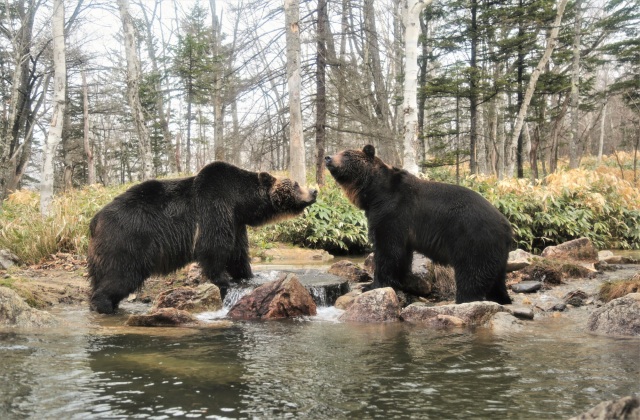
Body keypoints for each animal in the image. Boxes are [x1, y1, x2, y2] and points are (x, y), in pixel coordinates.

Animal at [87, 162, 318, 314]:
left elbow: (238, 253)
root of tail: (95, 219)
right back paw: (104, 304)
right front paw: (224, 281)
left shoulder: (235, 222)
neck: (240, 202)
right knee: (121, 274)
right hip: (128, 240)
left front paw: (247, 275)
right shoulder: (214, 209)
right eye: (296, 184)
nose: (314, 191)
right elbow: (214, 249)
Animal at [324, 145, 516, 306]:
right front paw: (401, 281)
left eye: (346, 154)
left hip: (473, 238)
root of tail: (507, 226)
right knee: (496, 278)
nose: (328, 157)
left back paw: (465, 299)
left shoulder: (392, 212)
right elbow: (402, 254)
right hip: (496, 252)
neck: (373, 193)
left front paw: (372, 285)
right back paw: (501, 298)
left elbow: (387, 249)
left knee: (472, 272)